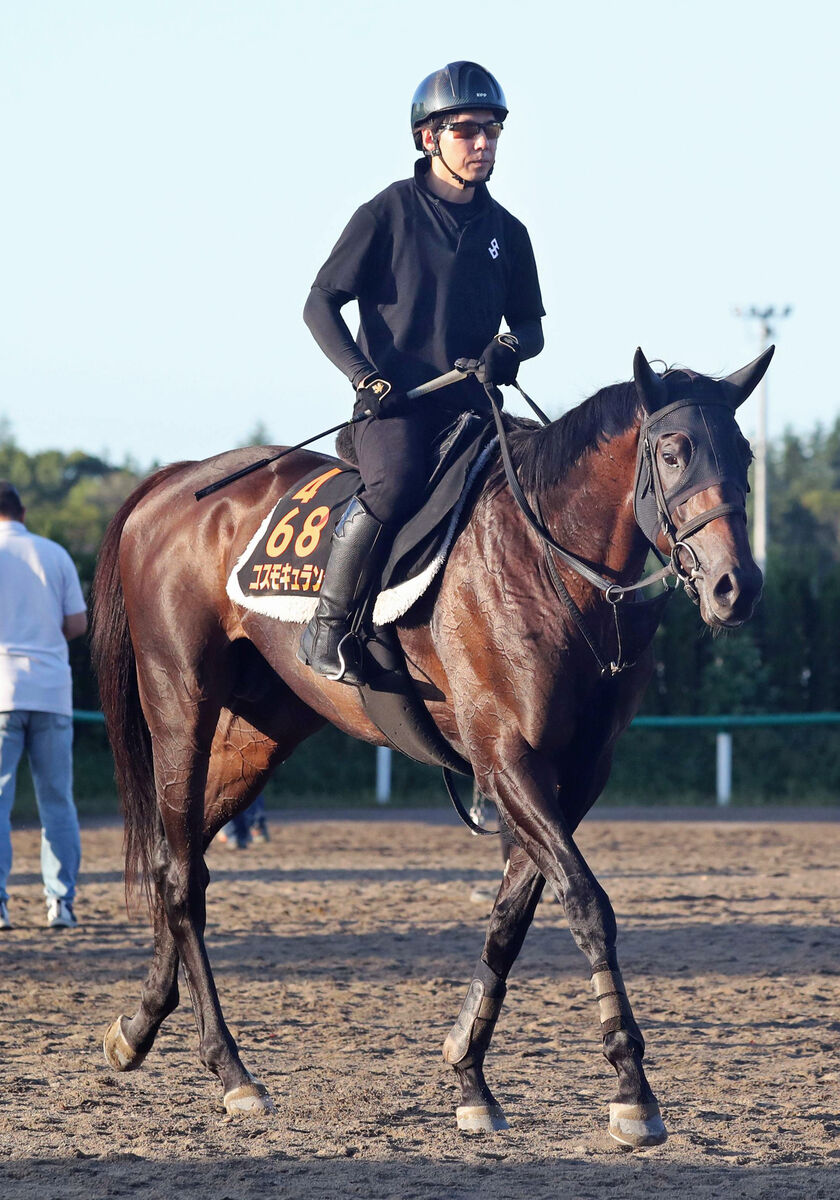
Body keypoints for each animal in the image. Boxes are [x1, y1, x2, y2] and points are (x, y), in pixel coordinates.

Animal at [93, 345, 772, 1142]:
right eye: (672, 452)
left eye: (745, 453)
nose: (736, 586)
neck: (547, 563)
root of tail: (176, 482)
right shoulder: (506, 759)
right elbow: (586, 903)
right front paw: (633, 1090)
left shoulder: (575, 774)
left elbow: (512, 914)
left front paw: (469, 1073)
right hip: (181, 707)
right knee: (178, 876)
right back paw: (231, 1070)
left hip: (256, 736)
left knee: (182, 862)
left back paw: (139, 1027)